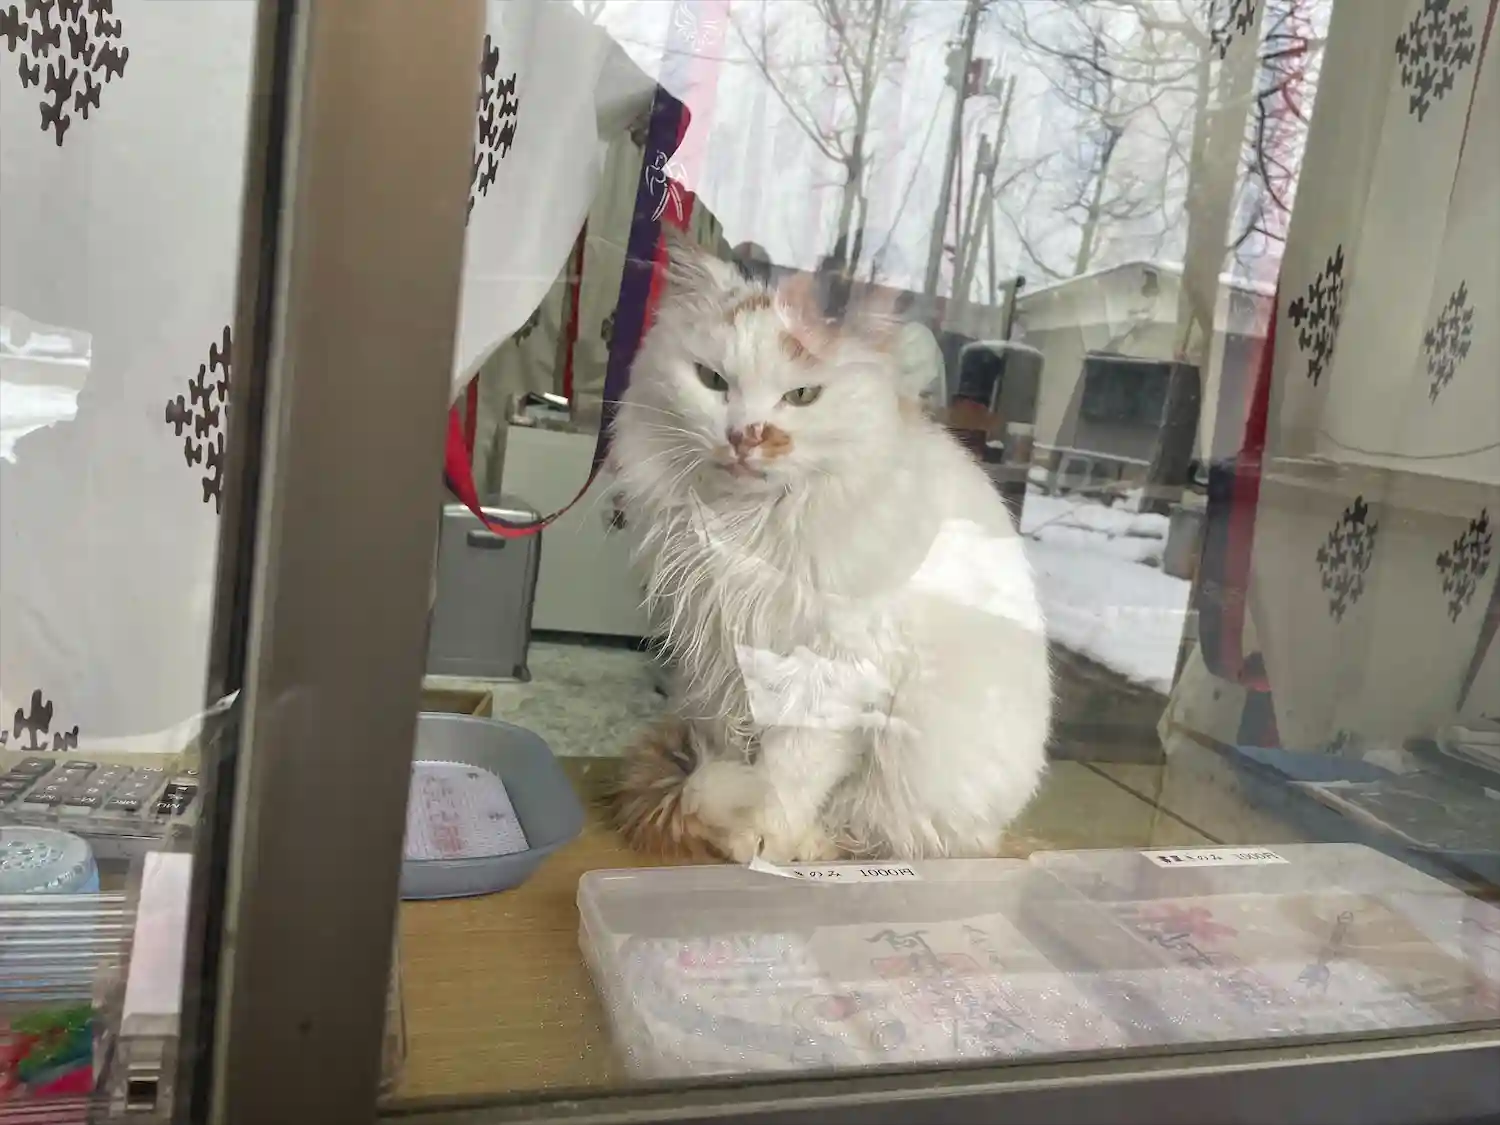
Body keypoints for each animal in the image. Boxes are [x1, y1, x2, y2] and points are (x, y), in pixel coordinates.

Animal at [611, 231, 1052, 863]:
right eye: (713, 381)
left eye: (802, 395)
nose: (745, 437)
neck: (746, 527)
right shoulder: (719, 657)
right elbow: (734, 748)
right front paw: (732, 821)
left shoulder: (832, 670)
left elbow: (788, 771)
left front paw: (760, 839)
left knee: (873, 829)